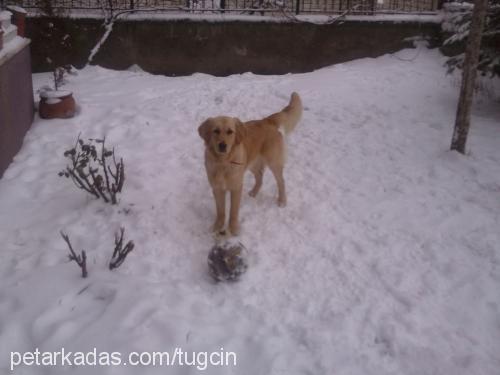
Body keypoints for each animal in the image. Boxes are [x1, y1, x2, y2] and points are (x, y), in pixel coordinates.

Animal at [198, 93, 300, 236]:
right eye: (216, 131)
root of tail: (266, 120)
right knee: (260, 177)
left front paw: (234, 228)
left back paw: (282, 200)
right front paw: (218, 226)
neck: (223, 163)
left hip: (273, 162)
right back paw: (254, 192)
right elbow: (221, 211)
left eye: (230, 132)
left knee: (281, 181)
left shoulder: (236, 187)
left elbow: (233, 211)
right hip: (252, 163)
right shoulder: (217, 188)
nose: (222, 145)